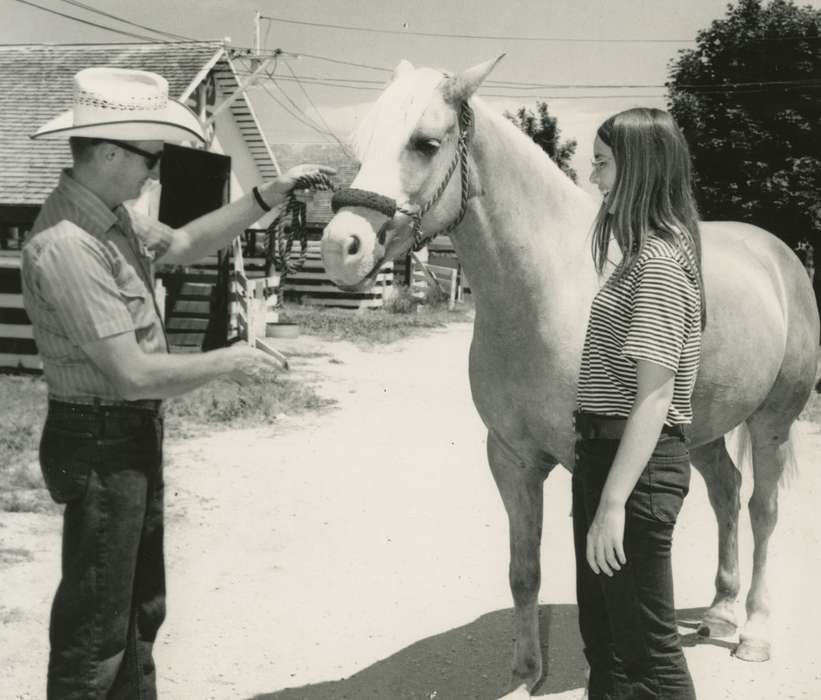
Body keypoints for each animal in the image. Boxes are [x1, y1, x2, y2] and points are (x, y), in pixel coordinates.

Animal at [318, 57, 816, 696]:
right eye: (363, 143)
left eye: (426, 143)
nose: (341, 248)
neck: (546, 284)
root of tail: (780, 257)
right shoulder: (511, 458)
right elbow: (524, 571)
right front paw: (526, 676)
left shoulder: (589, 464)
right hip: (700, 428)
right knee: (726, 494)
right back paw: (720, 612)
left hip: (772, 422)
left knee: (762, 510)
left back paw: (752, 630)